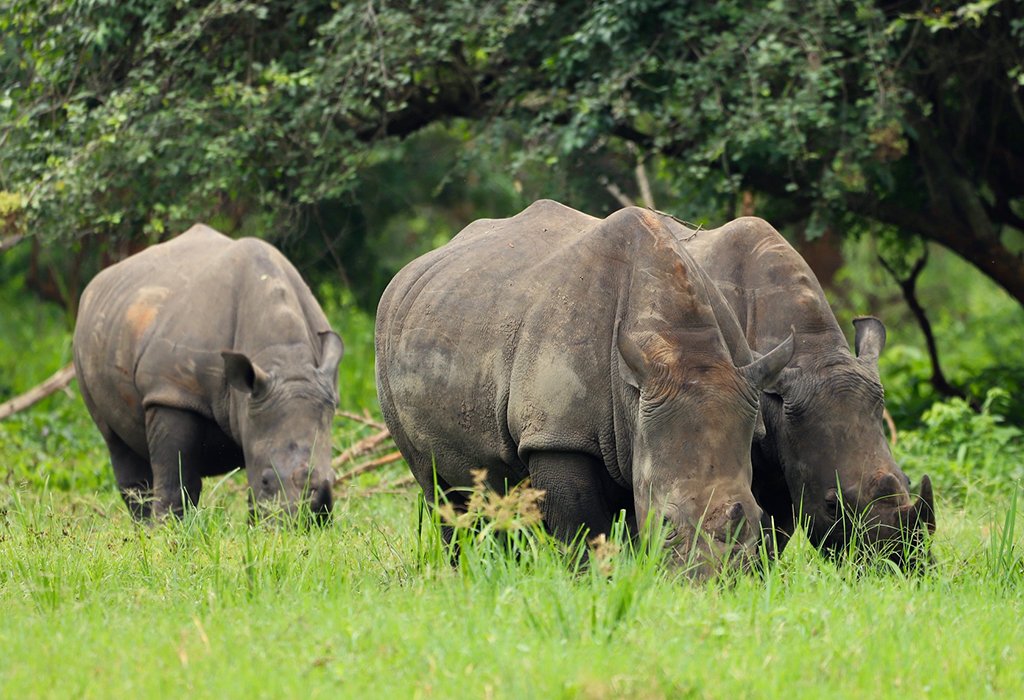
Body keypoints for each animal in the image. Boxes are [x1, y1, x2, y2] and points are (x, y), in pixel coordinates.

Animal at [73, 224, 343, 522]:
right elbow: (176, 477)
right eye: (266, 480)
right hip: (84, 344)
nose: (305, 525)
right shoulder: (172, 391)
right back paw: (142, 525)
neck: (283, 359)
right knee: (116, 443)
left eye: (333, 478)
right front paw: (167, 529)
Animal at [375, 200, 794, 577]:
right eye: (665, 524)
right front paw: (593, 582)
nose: (715, 584)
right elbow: (583, 530)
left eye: (755, 518)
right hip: (390, 338)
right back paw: (464, 573)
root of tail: (407, 272)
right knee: (438, 487)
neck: (679, 347)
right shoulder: (557, 434)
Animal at [674, 215, 935, 565]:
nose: (902, 566)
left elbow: (775, 532)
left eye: (907, 481)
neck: (814, 353)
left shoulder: (789, 456)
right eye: (832, 505)